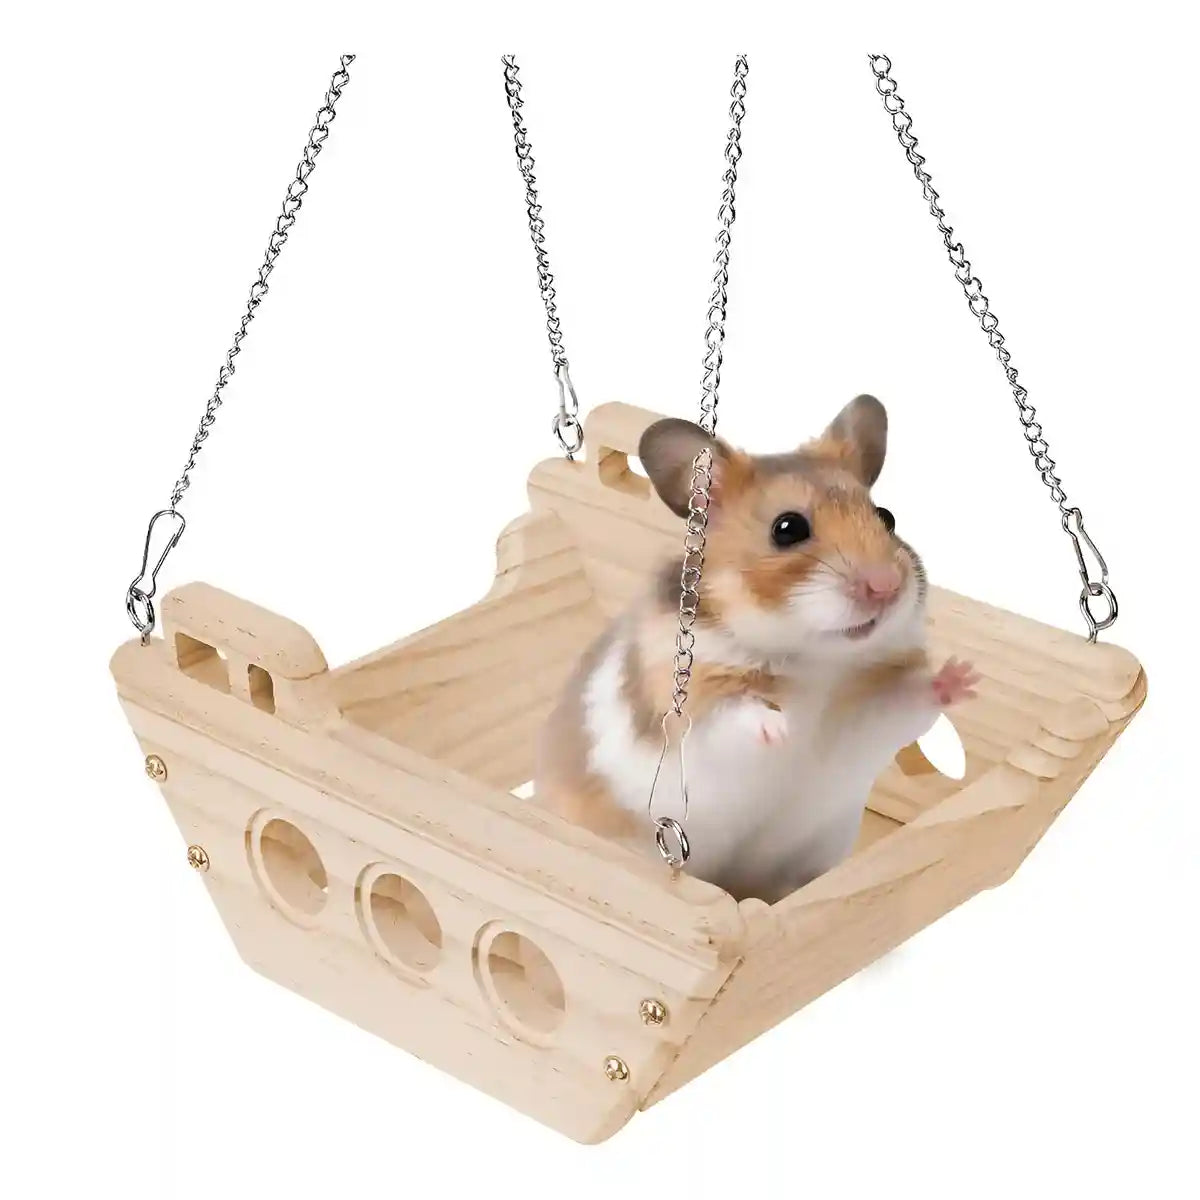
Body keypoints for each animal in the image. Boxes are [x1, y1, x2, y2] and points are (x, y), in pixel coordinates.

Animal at [534, 394, 980, 904]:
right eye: (787, 528)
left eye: (886, 517)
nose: (886, 586)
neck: (819, 660)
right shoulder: (688, 707)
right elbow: (737, 713)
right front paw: (781, 729)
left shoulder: (868, 712)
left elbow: (912, 701)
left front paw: (962, 676)